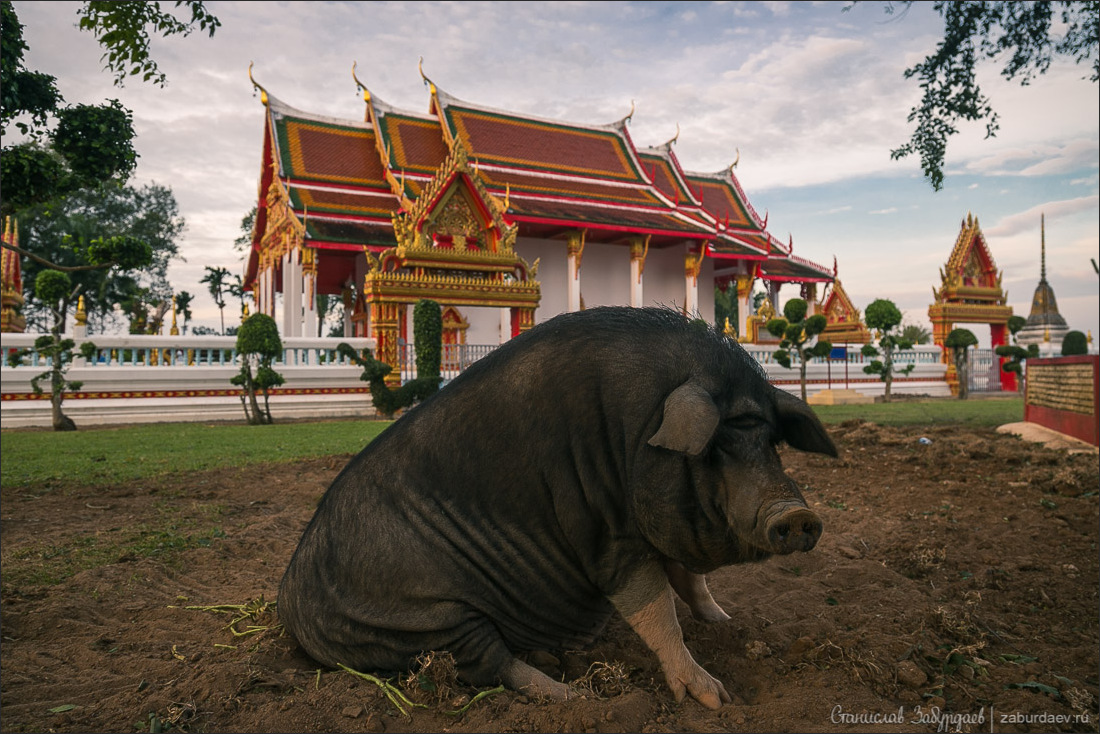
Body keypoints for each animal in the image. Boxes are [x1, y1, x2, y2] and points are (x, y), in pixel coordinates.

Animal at [281, 303, 831, 704]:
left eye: (771, 441)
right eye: (717, 445)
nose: (798, 515)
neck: (636, 433)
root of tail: (290, 606)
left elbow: (690, 581)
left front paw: (728, 623)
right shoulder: (608, 537)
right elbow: (657, 613)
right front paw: (715, 699)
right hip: (429, 620)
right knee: (490, 666)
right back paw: (577, 697)